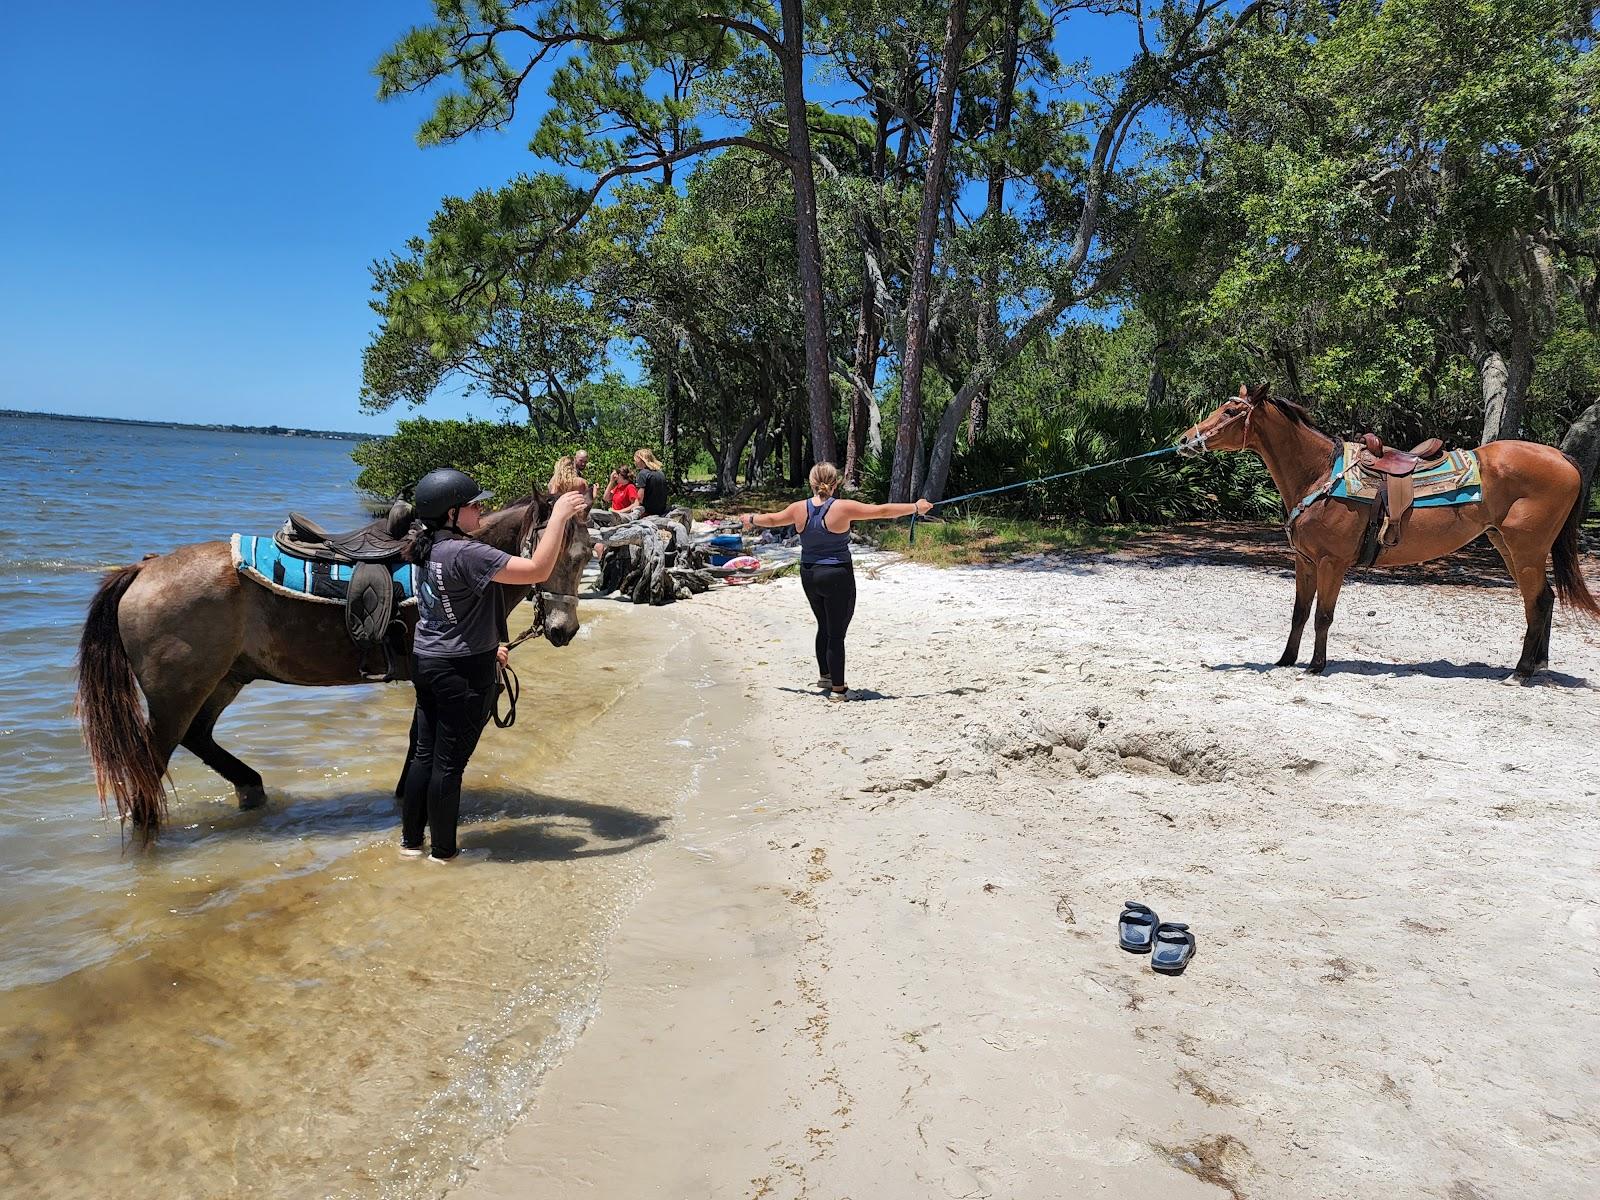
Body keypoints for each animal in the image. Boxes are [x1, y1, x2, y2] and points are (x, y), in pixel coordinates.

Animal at [72, 489, 592, 838]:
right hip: (177, 696)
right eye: (556, 553)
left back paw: (251, 789)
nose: (564, 629)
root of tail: (145, 568)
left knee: (198, 737)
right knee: (152, 764)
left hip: (222, 680)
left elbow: (417, 740)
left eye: (588, 553)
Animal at [1184, 387, 1593, 681]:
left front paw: (1316, 666)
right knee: (1544, 599)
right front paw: (1286, 660)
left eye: (1231, 412)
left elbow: (1323, 615)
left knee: (1537, 601)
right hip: (1507, 545)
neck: (1321, 474)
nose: (1187, 439)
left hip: (1526, 550)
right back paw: (1537, 665)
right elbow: (1299, 613)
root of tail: (1562, 458)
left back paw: (1521, 672)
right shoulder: (1305, 561)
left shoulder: (1332, 563)